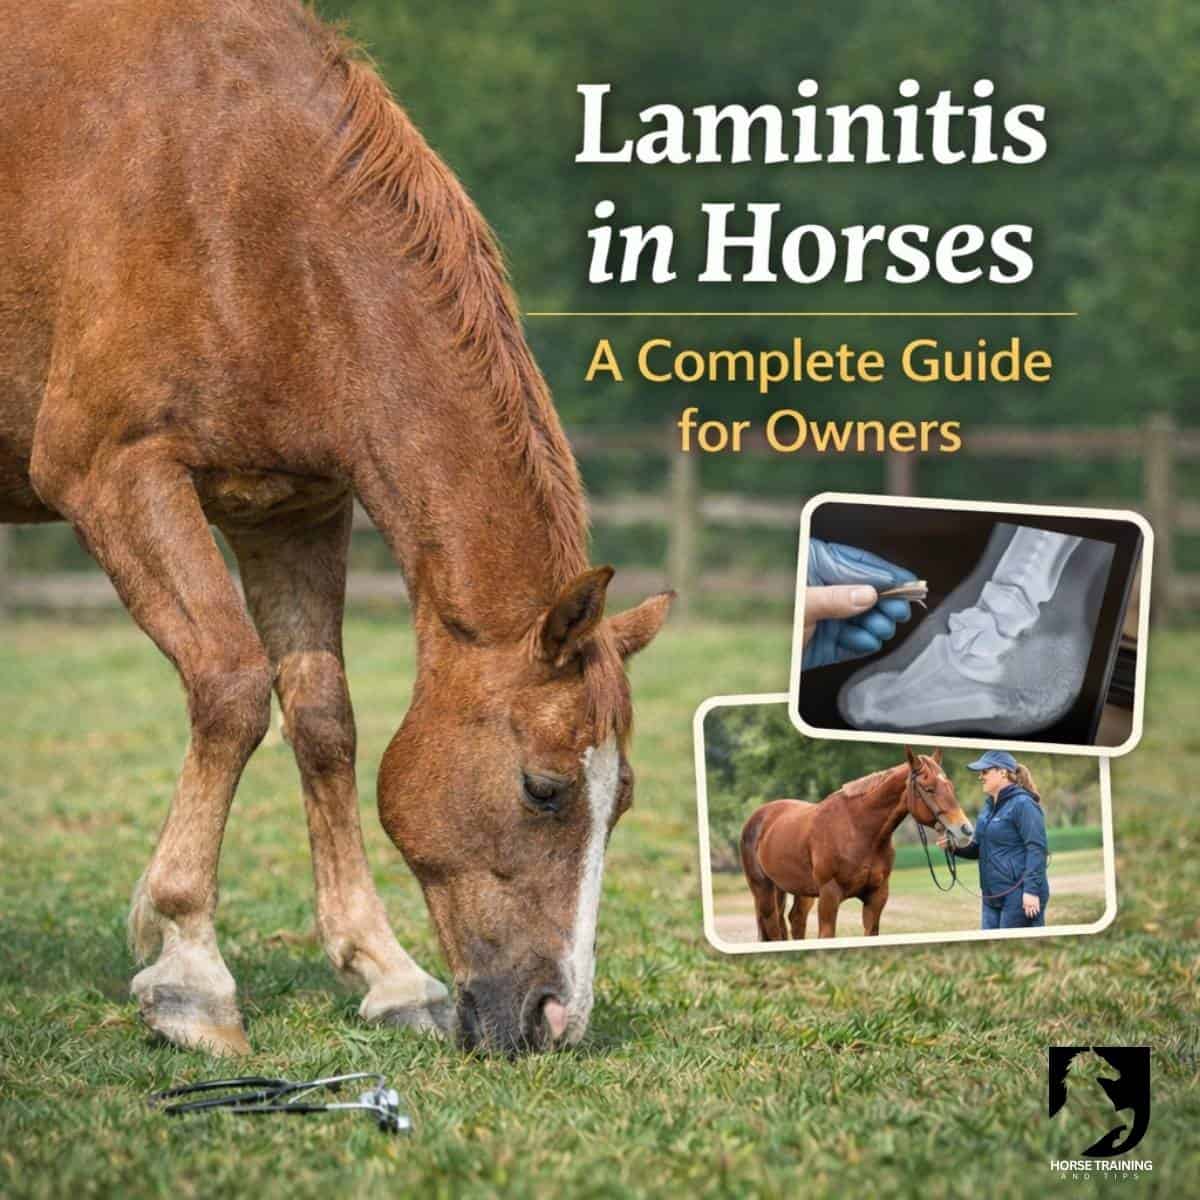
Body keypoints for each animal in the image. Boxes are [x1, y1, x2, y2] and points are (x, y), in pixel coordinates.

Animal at [0, 0, 672, 1056]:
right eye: (545, 789)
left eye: (626, 798)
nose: (557, 1020)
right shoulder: (113, 473)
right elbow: (232, 688)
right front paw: (190, 971)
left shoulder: (295, 509)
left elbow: (324, 721)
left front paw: (386, 972)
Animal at [739, 748, 974, 940]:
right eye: (929, 788)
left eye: (950, 787)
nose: (965, 830)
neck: (858, 830)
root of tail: (759, 817)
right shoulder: (829, 896)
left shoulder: (876, 897)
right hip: (763, 890)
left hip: (798, 891)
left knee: (795, 920)